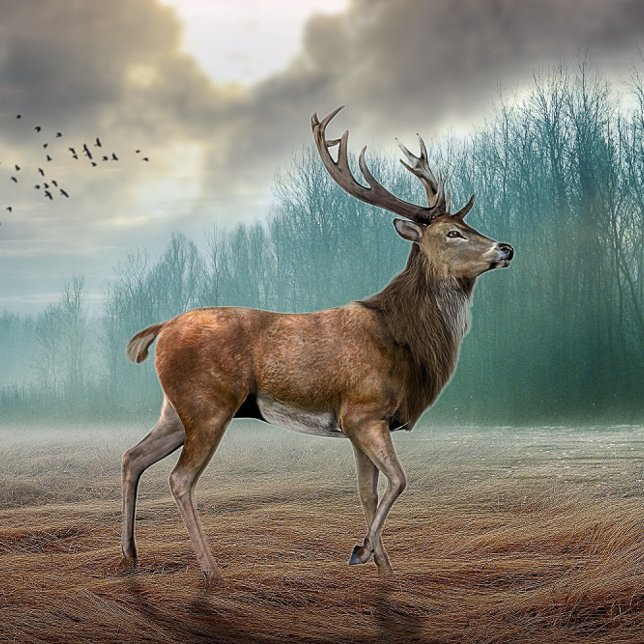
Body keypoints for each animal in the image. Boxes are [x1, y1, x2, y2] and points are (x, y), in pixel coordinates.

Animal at [120, 106, 514, 584]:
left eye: (468, 224)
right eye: (453, 233)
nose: (506, 248)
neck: (405, 341)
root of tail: (161, 329)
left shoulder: (360, 425)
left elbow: (368, 491)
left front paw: (382, 564)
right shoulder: (363, 411)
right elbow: (399, 480)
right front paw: (361, 552)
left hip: (176, 410)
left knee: (133, 456)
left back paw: (131, 556)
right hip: (208, 404)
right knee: (179, 479)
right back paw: (212, 572)